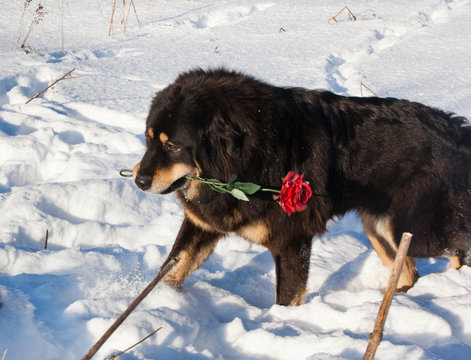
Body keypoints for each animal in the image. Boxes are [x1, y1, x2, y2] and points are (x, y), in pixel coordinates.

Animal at [133, 68, 471, 306]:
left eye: (173, 146)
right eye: (149, 140)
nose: (139, 180)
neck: (244, 160)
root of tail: (456, 130)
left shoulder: (292, 241)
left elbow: (286, 299)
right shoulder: (203, 223)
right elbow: (172, 270)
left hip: (417, 229)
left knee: (457, 250)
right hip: (382, 228)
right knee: (410, 271)